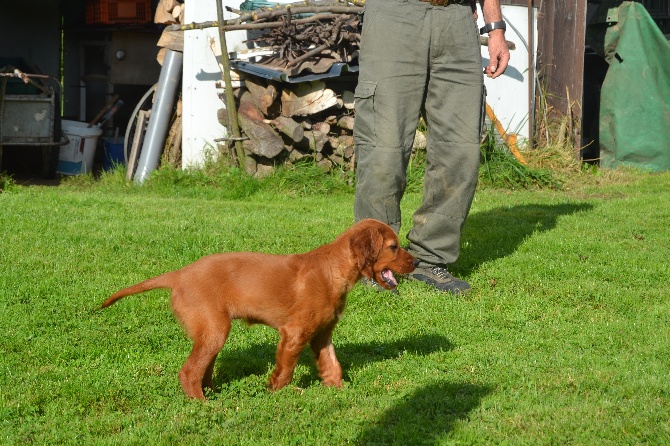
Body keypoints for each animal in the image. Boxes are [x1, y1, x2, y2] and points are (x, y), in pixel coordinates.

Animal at [102, 218, 418, 398]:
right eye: (393, 247)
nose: (416, 263)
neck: (333, 270)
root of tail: (179, 274)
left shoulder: (322, 335)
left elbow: (333, 365)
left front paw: (339, 393)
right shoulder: (294, 333)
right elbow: (286, 370)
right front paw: (275, 394)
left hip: (212, 333)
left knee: (203, 368)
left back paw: (213, 393)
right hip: (215, 329)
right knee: (189, 372)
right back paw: (204, 405)